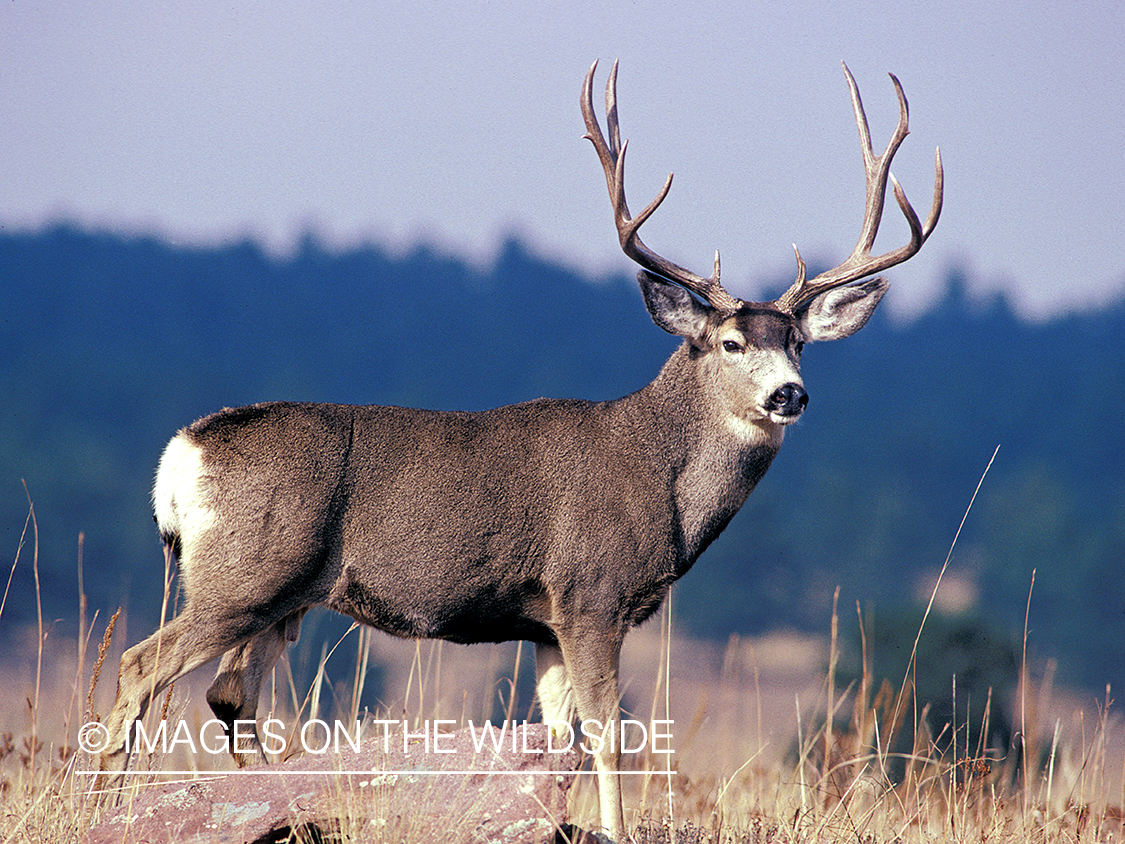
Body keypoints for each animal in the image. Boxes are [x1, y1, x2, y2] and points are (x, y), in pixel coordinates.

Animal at [94, 60, 941, 841]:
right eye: (731, 342)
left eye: (799, 344)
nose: (788, 396)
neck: (657, 475)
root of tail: (182, 454)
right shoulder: (590, 590)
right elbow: (607, 735)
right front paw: (614, 831)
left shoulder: (542, 625)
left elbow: (560, 737)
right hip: (242, 575)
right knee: (141, 668)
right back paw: (106, 808)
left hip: (285, 596)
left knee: (230, 695)